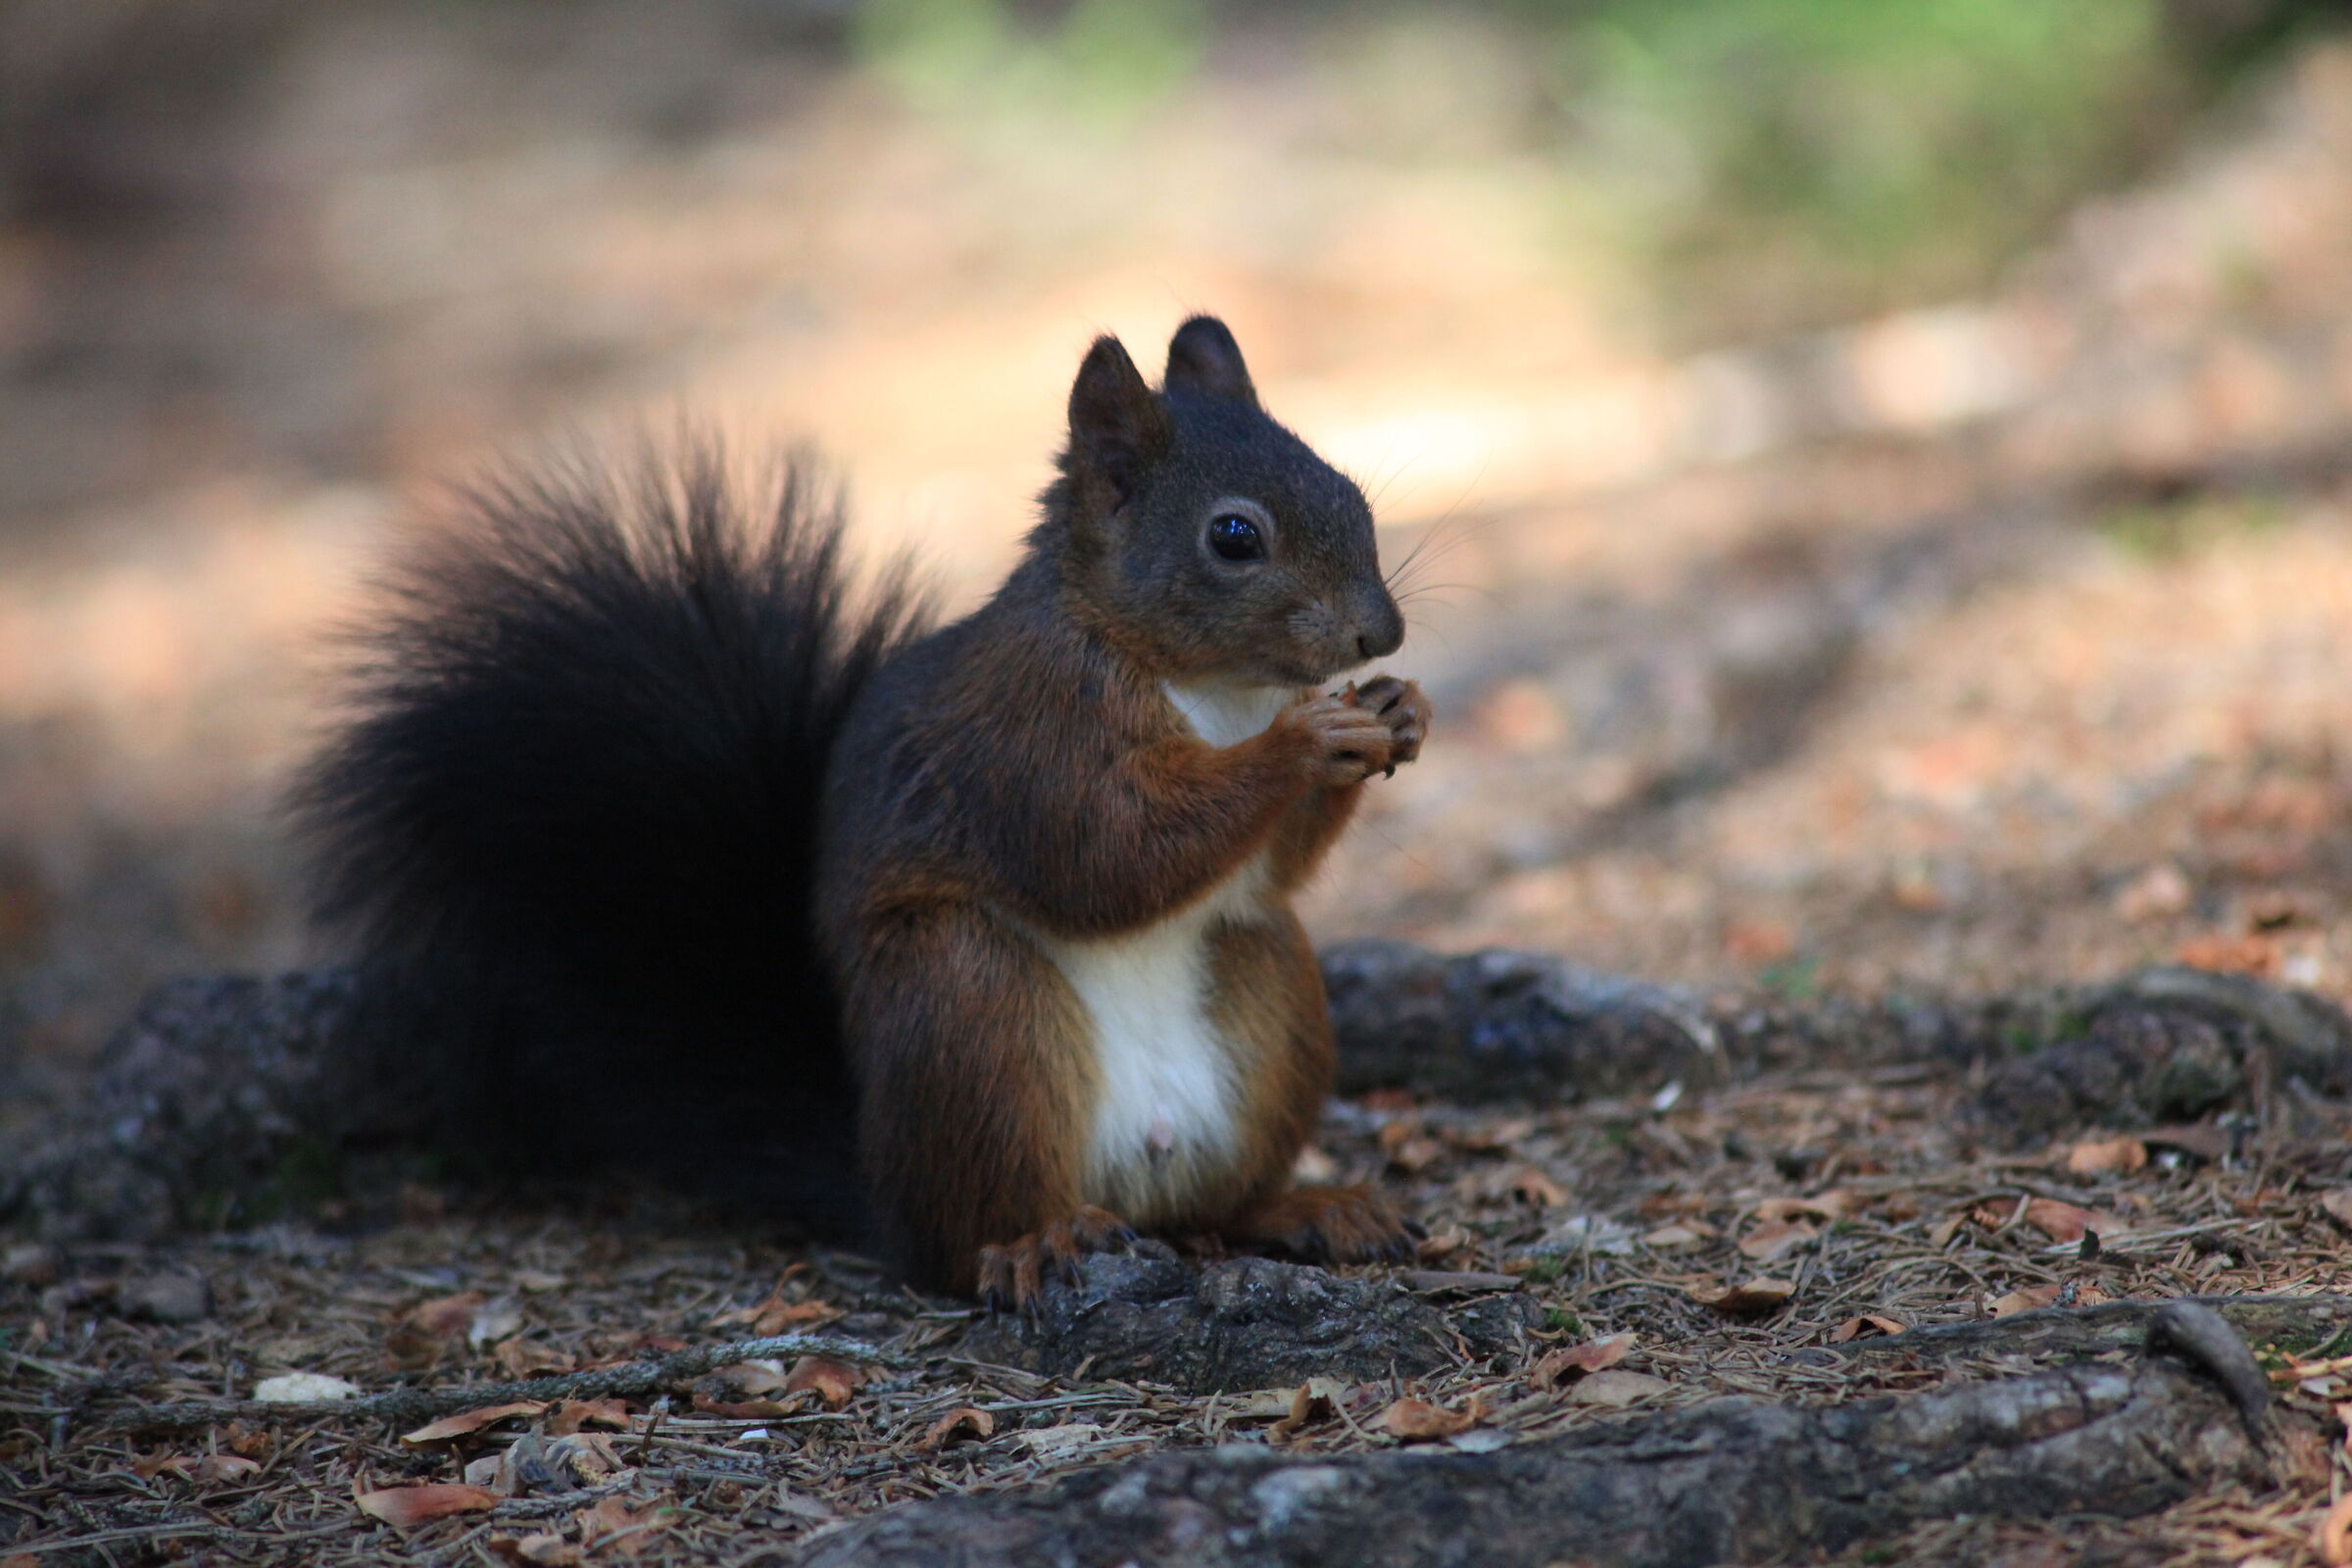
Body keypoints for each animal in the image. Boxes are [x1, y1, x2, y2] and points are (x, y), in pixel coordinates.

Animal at [296, 315, 1431, 1303]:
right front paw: (1303, 742)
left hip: (1266, 981)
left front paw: (1397, 712)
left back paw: (1305, 1208)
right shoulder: (1026, 738)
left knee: (1214, 1198)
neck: (1209, 683)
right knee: (964, 1235)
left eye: (1349, 489)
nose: (1380, 633)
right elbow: (1104, 855)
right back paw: (1038, 1241)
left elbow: (1265, 868)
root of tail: (884, 1193)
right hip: (965, 1006)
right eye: (1234, 536)